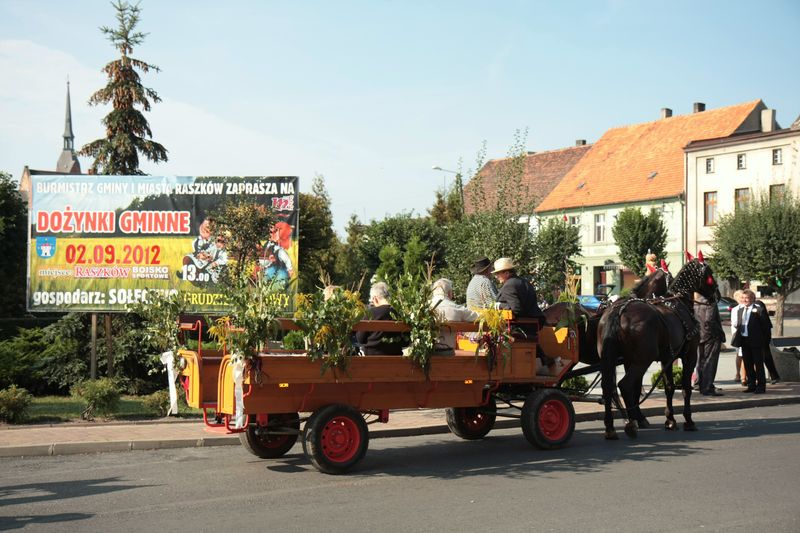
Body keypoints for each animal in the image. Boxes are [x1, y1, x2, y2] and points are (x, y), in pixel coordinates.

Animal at [596, 256, 720, 436]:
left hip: (610, 359)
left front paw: (670, 420)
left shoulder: (666, 358)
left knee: (608, 388)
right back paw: (631, 424)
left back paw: (611, 427)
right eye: (709, 274)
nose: (717, 294)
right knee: (625, 386)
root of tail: (618, 311)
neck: (679, 302)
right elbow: (686, 388)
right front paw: (688, 421)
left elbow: (669, 387)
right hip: (642, 361)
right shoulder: (690, 355)